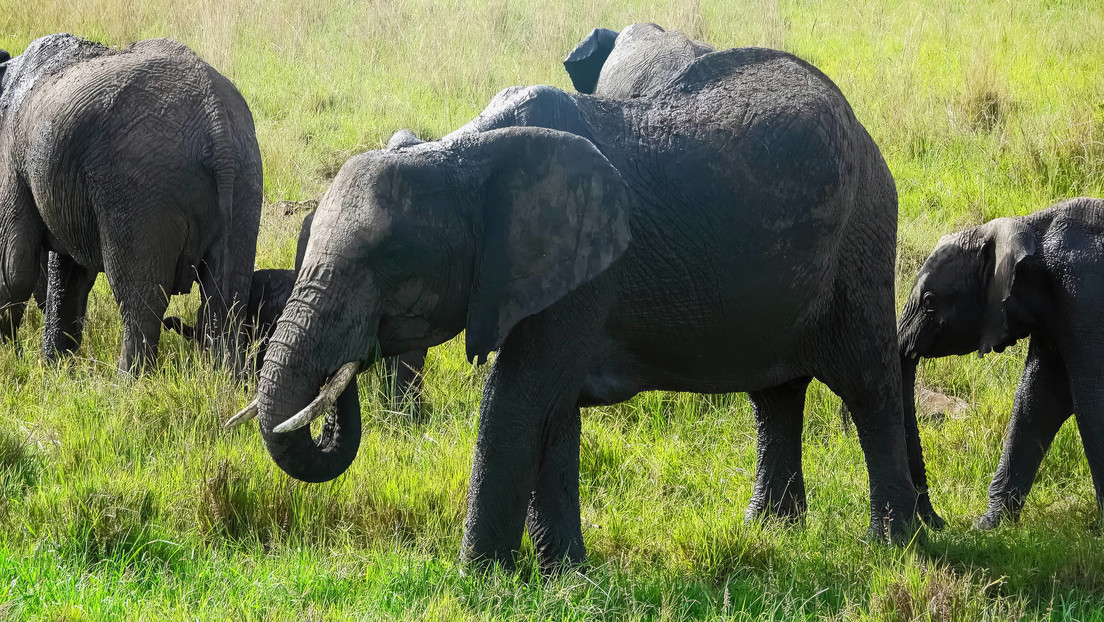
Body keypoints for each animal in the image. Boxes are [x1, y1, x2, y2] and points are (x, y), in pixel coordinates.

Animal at [0, 34, 260, 373]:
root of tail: (214, 116)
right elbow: (68, 274)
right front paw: (56, 370)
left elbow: (14, 267)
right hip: (245, 176)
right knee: (228, 294)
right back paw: (226, 378)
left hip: (140, 189)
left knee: (141, 296)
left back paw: (126, 381)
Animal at [235, 43, 931, 570]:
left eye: (391, 262)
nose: (344, 372)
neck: (463, 153)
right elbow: (553, 413)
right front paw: (564, 577)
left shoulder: (584, 273)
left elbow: (516, 402)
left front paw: (479, 580)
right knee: (776, 396)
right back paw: (771, 532)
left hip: (862, 238)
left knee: (867, 384)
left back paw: (892, 545)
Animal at [896, 196, 1104, 528]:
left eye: (929, 302)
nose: (940, 522)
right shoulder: (1058, 311)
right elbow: (1038, 398)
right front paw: (990, 525)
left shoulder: (1086, 298)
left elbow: (1091, 402)